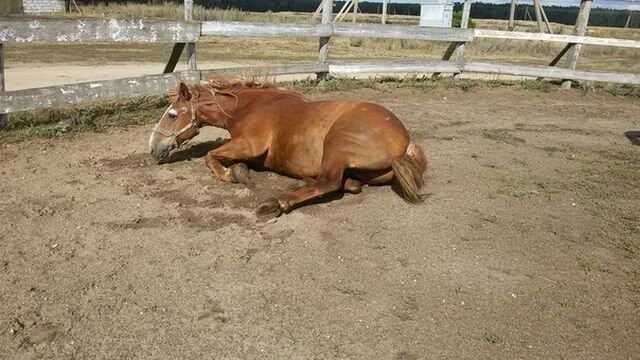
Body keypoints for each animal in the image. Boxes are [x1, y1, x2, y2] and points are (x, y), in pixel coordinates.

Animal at [149, 77, 430, 218]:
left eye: (172, 115)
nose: (153, 149)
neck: (247, 107)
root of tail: (406, 143)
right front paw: (239, 169)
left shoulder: (251, 144)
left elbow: (209, 156)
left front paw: (232, 174)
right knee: (349, 184)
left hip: (336, 146)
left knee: (329, 183)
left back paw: (276, 203)